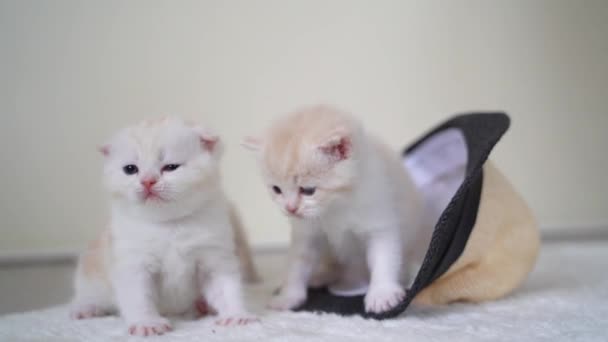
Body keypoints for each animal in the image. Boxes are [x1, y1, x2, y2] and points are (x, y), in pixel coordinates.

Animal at [71, 117, 258, 336]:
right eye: (130, 169)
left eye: (170, 167)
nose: (147, 181)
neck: (169, 225)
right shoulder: (133, 263)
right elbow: (138, 297)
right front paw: (147, 323)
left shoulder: (214, 256)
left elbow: (227, 288)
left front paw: (237, 315)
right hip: (91, 275)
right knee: (87, 294)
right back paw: (85, 309)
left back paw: (202, 306)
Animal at [242, 105, 422, 314]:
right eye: (276, 189)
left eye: (308, 190)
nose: (290, 208)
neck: (334, 207)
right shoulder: (307, 234)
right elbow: (297, 264)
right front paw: (289, 296)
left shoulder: (380, 221)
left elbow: (384, 257)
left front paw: (382, 293)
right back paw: (321, 276)